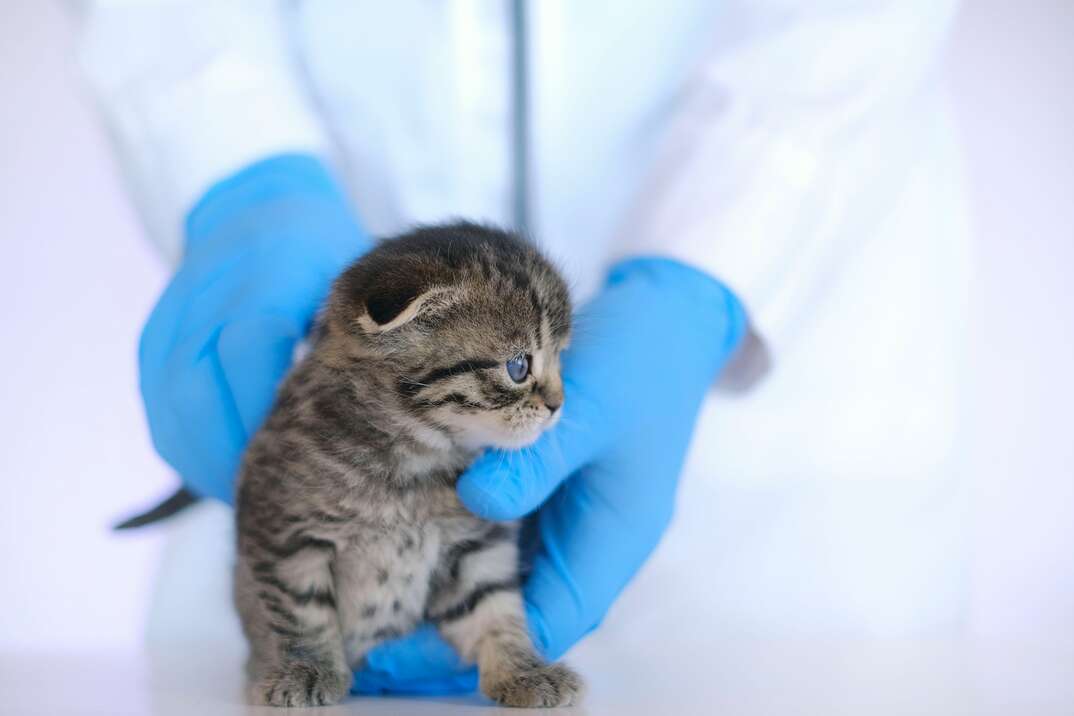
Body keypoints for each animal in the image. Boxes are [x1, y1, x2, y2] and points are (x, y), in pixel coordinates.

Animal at [231, 222, 584, 704]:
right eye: (518, 367)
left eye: (561, 357)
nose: (557, 405)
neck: (417, 463)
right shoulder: (283, 529)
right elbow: (298, 609)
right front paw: (304, 669)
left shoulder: (476, 544)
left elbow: (492, 604)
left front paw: (522, 671)